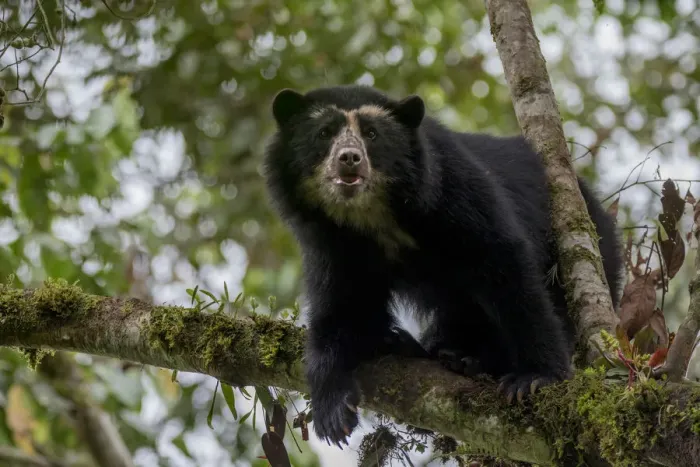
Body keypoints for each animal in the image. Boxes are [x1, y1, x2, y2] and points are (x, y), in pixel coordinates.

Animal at [263, 84, 623, 447]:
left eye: (372, 134)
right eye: (325, 133)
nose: (349, 159)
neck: (373, 215)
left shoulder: (451, 189)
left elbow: (504, 265)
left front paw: (534, 378)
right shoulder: (332, 243)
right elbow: (340, 305)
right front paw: (333, 411)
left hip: (587, 242)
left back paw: (470, 360)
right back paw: (413, 346)